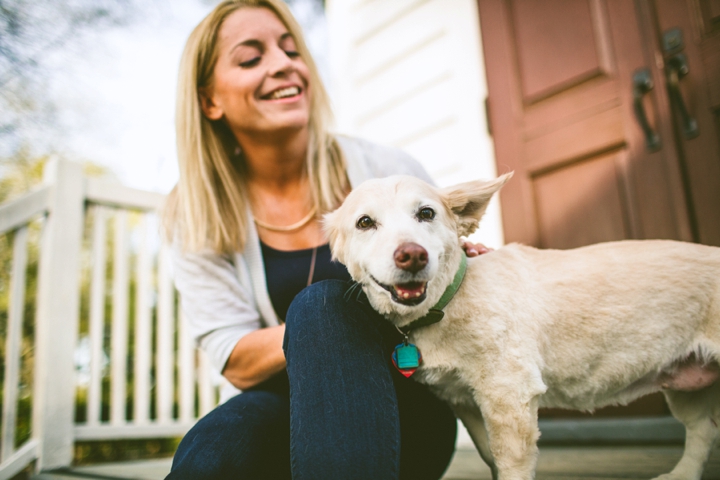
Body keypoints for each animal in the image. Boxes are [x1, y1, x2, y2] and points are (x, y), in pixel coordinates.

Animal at [324, 174, 720, 480]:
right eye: (364, 223)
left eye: (426, 213)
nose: (412, 255)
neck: (448, 302)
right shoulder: (466, 402)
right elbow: (490, 456)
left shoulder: (509, 393)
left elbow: (510, 462)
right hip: (687, 384)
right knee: (701, 430)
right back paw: (683, 473)